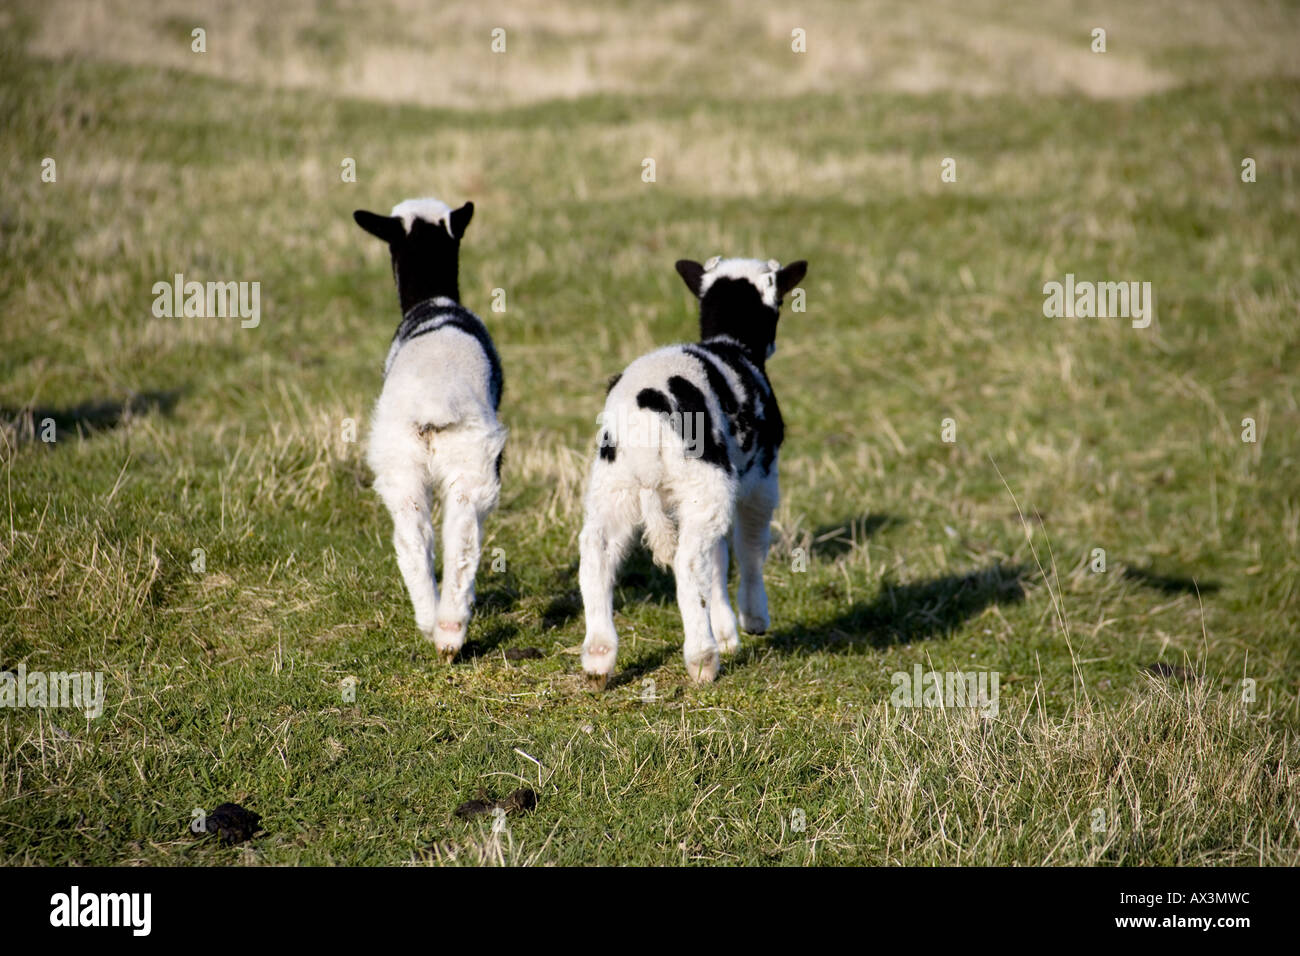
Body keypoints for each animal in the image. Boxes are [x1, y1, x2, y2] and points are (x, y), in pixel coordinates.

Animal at [356, 197, 506, 660]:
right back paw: (452, 627)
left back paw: (431, 621)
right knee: (462, 536)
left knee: (413, 538)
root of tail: (434, 394)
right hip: (473, 460)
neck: (432, 300)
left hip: (398, 461)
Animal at [577, 254, 800, 686]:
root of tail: (644, 419)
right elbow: (748, 548)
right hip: (705, 485)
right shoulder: (760, 480)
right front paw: (752, 619)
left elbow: (719, 562)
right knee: (687, 563)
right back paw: (702, 658)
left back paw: (598, 658)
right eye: (779, 302)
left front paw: (727, 631)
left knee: (596, 553)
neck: (732, 343)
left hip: (614, 485)